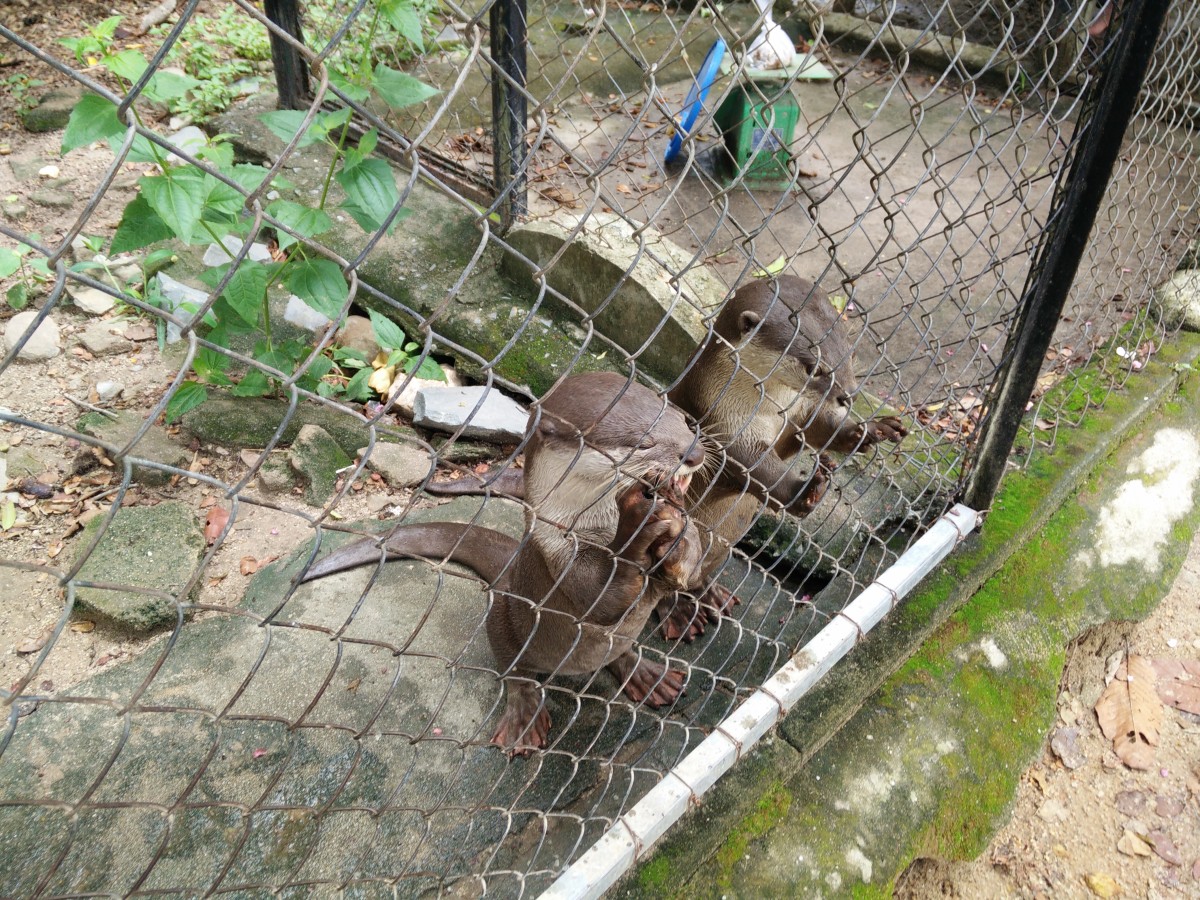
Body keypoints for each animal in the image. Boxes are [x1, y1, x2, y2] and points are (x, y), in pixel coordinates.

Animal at [300, 372, 705, 755]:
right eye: (643, 443)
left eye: (684, 421)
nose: (696, 453)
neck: (589, 524)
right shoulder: (555, 551)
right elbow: (600, 598)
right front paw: (638, 522)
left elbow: (692, 563)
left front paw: (679, 533)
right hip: (504, 621)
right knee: (514, 669)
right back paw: (524, 720)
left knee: (618, 653)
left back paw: (649, 677)